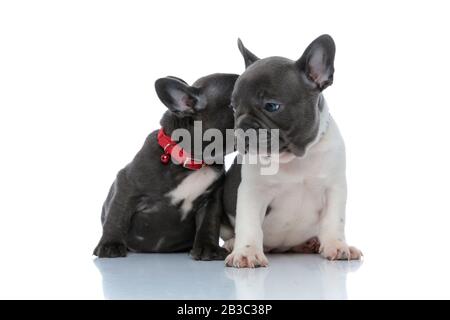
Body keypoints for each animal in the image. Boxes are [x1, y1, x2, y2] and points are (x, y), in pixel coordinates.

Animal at [93, 72, 237, 260]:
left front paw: (208, 248)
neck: (192, 161)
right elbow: (117, 215)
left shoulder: (211, 199)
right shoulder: (126, 185)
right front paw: (109, 244)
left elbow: (208, 222)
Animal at [221, 34, 362, 268]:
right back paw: (233, 244)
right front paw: (247, 252)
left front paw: (337, 245)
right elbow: (249, 224)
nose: (242, 127)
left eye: (271, 106)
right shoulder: (253, 192)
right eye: (233, 107)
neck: (295, 158)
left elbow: (334, 220)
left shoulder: (334, 188)